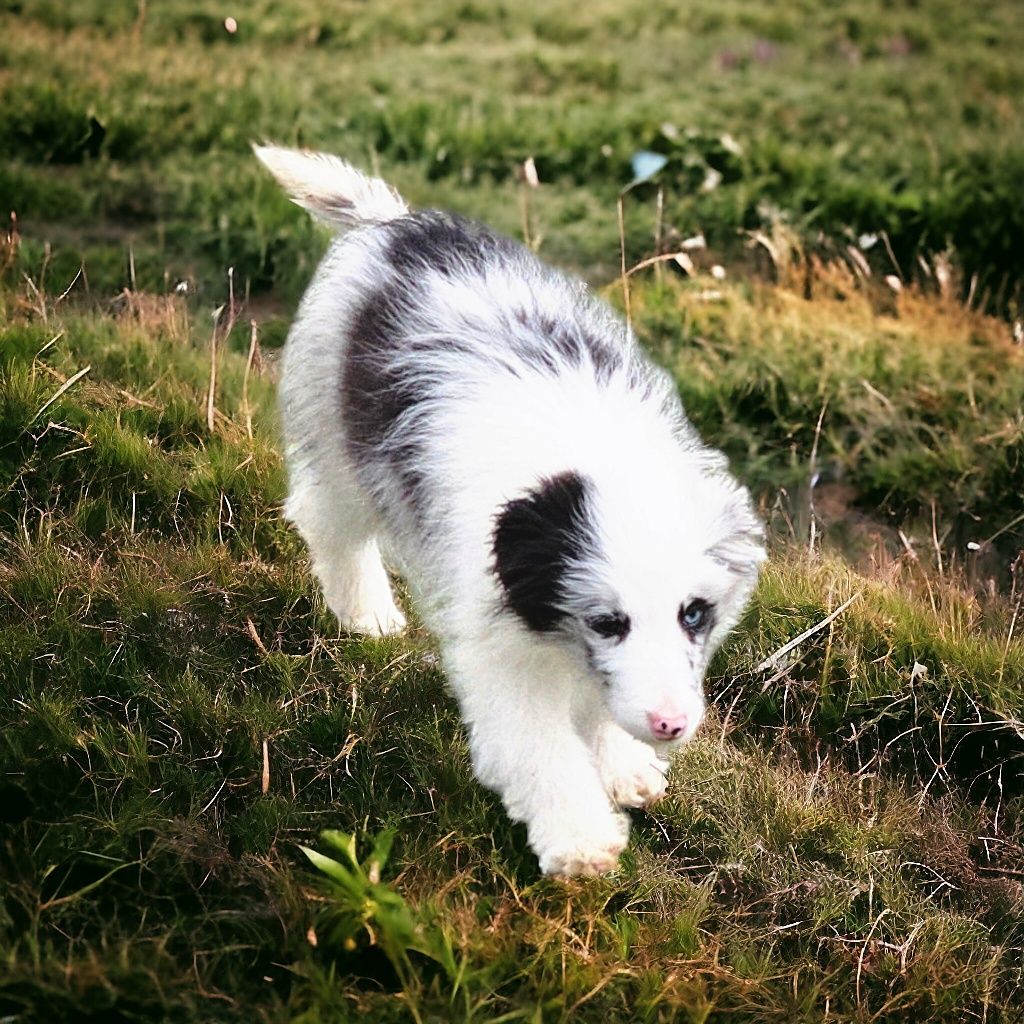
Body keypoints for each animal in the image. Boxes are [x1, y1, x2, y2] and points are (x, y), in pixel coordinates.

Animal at [252, 144, 765, 876]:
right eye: (608, 622)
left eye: (693, 614)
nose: (671, 725)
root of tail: (392, 223)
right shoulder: (503, 646)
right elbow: (537, 747)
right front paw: (580, 840)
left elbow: (599, 704)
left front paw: (624, 766)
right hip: (342, 437)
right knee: (330, 523)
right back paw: (367, 614)